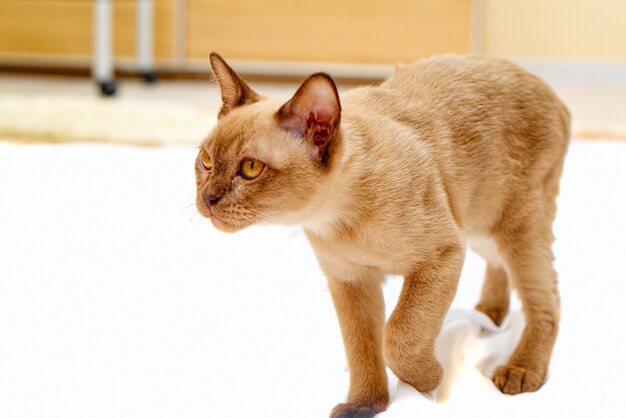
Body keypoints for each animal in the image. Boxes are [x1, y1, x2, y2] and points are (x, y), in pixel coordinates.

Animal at [196, 53, 572, 418]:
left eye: (250, 169)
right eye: (206, 161)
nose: (207, 199)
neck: (337, 220)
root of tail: (543, 85)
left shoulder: (441, 256)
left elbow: (398, 337)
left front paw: (430, 380)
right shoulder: (351, 283)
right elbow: (362, 350)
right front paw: (365, 406)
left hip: (514, 228)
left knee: (548, 300)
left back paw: (520, 370)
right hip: (481, 227)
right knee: (500, 268)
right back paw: (490, 314)